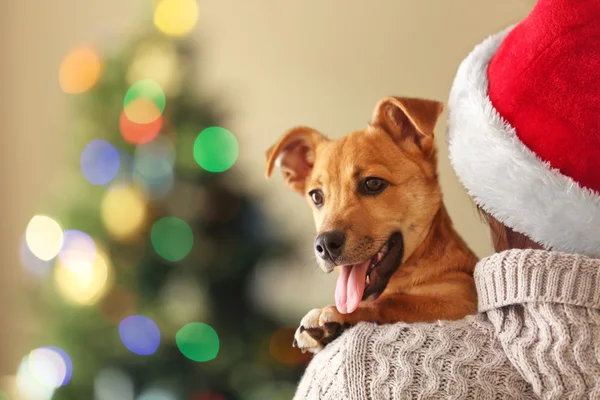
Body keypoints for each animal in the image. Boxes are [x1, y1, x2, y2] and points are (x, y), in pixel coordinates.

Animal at [264, 97, 476, 354]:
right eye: (316, 196)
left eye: (373, 183)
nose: (324, 244)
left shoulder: (463, 294)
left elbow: (395, 302)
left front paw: (337, 314)